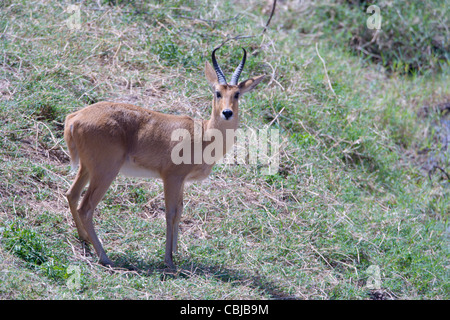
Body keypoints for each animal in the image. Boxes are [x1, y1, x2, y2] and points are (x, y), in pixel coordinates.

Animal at [65, 47, 266, 268]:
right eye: (217, 92)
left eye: (236, 94)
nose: (227, 112)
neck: (203, 134)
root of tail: (74, 118)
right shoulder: (171, 177)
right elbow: (170, 213)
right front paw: (169, 260)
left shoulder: (181, 181)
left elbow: (180, 211)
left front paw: (176, 252)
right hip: (105, 172)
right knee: (86, 207)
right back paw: (105, 257)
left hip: (87, 168)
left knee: (72, 194)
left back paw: (84, 239)